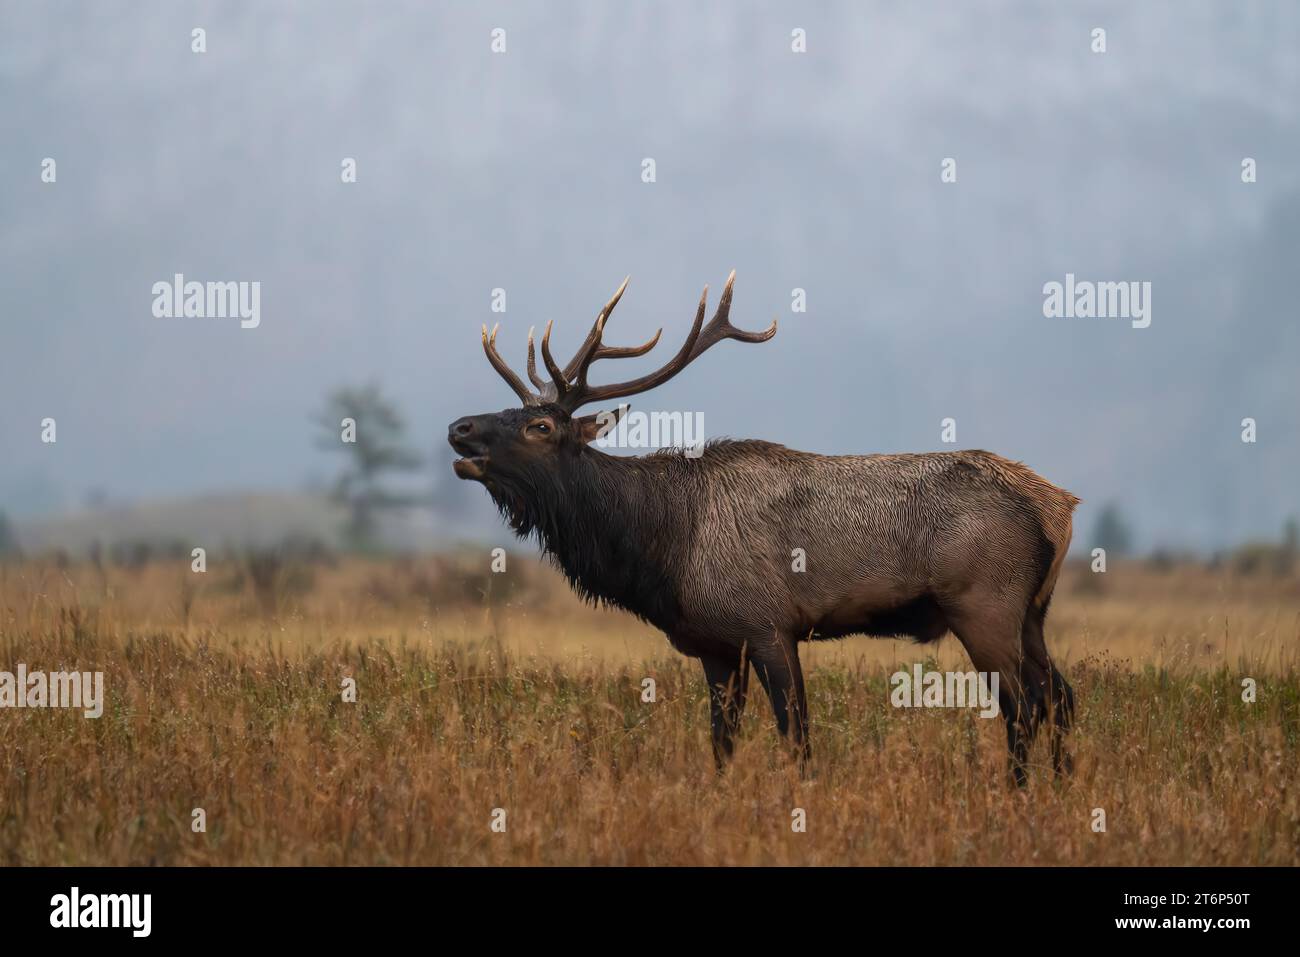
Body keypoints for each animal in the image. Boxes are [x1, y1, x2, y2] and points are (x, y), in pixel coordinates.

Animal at [447, 273, 1076, 780]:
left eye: (541, 426)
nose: (459, 429)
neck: (661, 547)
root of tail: (1058, 508)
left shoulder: (767, 625)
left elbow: (796, 735)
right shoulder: (715, 645)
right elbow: (721, 742)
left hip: (983, 605)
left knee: (1022, 709)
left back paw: (1018, 794)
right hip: (1031, 613)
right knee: (1060, 697)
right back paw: (1061, 787)